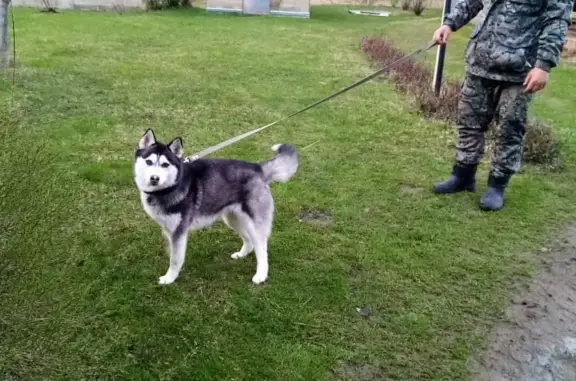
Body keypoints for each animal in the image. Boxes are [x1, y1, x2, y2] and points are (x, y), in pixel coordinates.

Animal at [133, 129, 300, 284]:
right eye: (149, 162)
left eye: (165, 165)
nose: (154, 178)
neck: (169, 188)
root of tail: (258, 168)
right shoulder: (169, 230)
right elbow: (172, 254)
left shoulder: (178, 232)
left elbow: (175, 260)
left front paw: (169, 278)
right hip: (233, 219)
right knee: (249, 240)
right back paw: (241, 254)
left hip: (256, 224)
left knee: (261, 248)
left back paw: (261, 275)